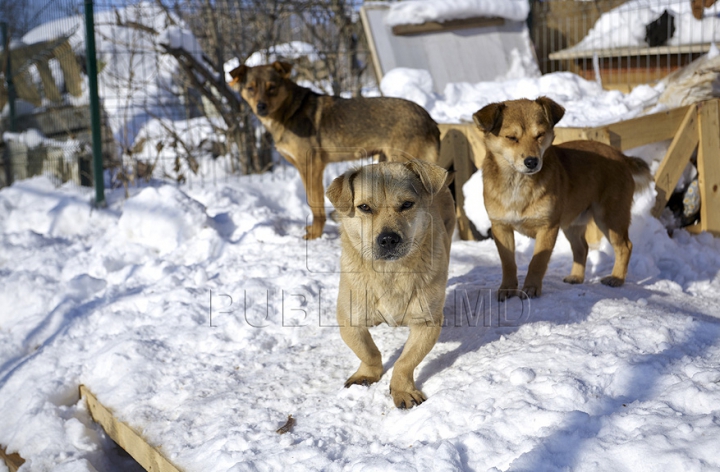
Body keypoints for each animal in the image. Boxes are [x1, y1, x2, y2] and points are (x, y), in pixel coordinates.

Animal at [229, 61, 438, 240]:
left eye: (272, 87)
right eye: (250, 88)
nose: (261, 107)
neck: (289, 112)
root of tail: (430, 119)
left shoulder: (312, 167)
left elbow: (315, 205)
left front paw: (315, 235)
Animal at [328, 159, 456, 410]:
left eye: (407, 204)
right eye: (364, 207)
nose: (388, 239)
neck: (390, 273)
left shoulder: (427, 322)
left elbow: (405, 361)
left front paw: (402, 390)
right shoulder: (349, 319)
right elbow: (367, 351)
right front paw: (367, 374)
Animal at [472, 97, 652, 300]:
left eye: (540, 135)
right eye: (511, 137)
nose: (532, 162)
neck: (518, 183)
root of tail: (621, 156)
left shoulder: (548, 227)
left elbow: (537, 262)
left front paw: (531, 288)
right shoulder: (501, 227)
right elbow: (508, 262)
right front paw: (508, 288)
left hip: (610, 217)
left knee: (625, 247)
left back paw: (616, 278)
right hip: (573, 224)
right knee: (582, 248)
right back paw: (577, 277)